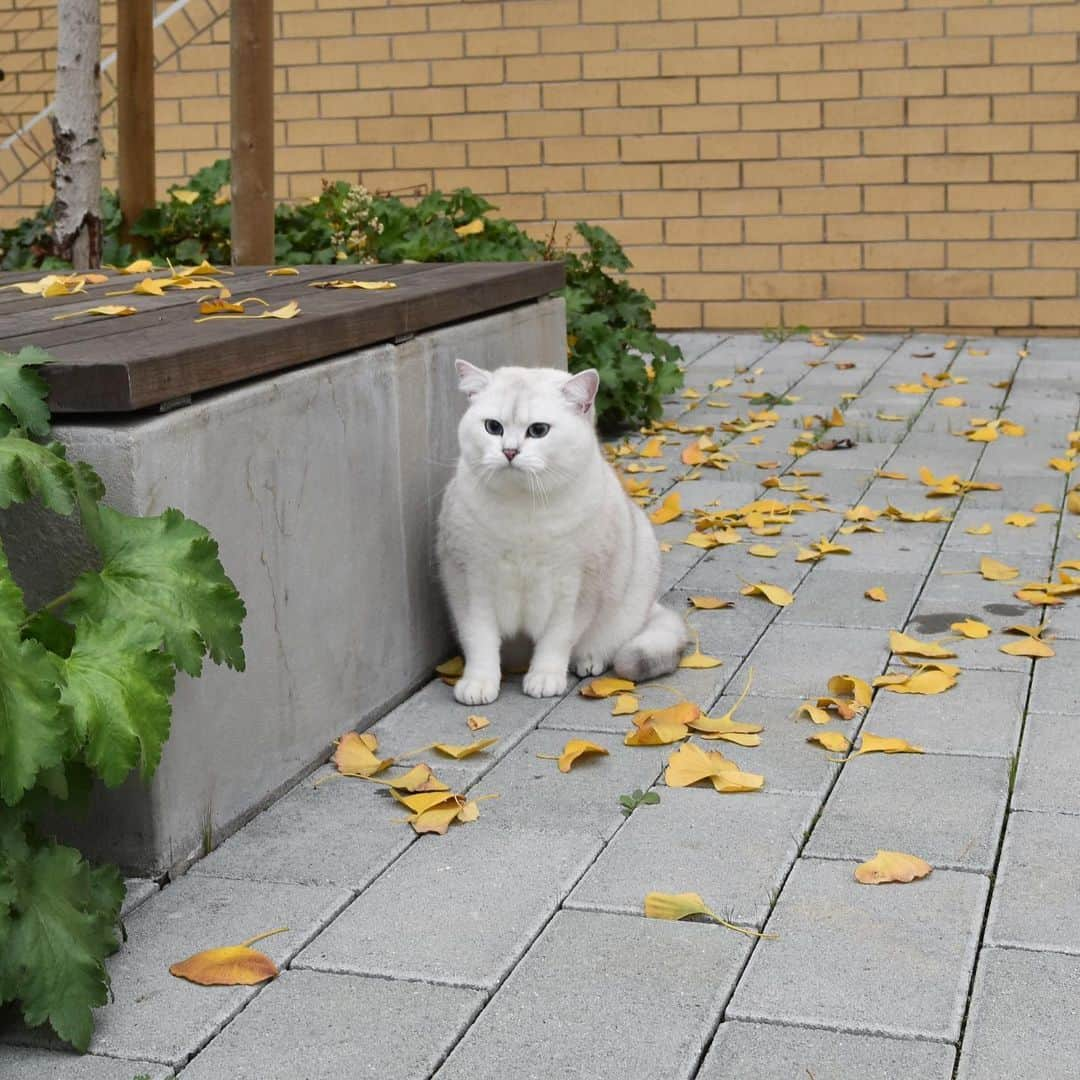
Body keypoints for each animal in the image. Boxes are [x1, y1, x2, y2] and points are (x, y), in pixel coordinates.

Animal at [434, 358, 686, 704]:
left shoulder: (576, 589)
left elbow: (556, 641)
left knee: (601, 645)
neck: (523, 507)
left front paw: (544, 678)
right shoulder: (470, 582)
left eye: (538, 430)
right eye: (493, 427)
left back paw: (587, 661)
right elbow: (480, 640)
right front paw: (479, 682)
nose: (509, 451)